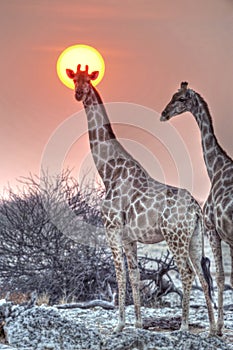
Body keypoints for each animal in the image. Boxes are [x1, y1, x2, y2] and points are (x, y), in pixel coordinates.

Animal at [66, 67, 217, 334]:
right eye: (74, 79)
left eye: (87, 80)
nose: (78, 94)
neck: (108, 171)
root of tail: (195, 209)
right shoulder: (129, 237)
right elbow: (135, 277)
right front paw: (137, 323)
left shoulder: (111, 228)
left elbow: (120, 275)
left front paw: (119, 325)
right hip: (195, 236)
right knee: (202, 275)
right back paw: (210, 329)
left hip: (175, 236)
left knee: (187, 272)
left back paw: (184, 327)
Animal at [161, 80, 232, 334]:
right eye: (172, 96)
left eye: (181, 99)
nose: (164, 114)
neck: (216, 168)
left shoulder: (212, 229)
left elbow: (219, 277)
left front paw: (217, 328)